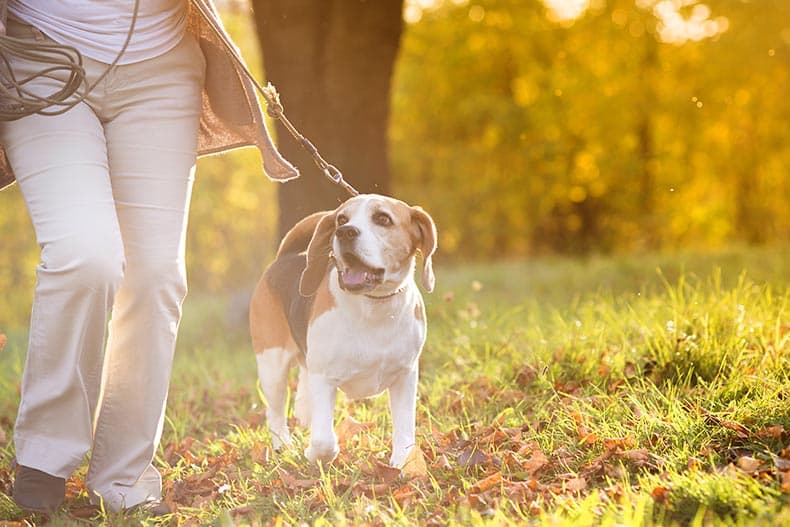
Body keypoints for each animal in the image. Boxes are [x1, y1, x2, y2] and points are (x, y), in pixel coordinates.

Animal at [251, 194, 436, 466]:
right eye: (341, 219)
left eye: (383, 219)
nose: (345, 231)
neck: (373, 306)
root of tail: (286, 257)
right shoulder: (324, 378)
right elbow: (323, 441)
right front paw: (313, 454)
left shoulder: (405, 376)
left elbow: (404, 429)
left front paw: (404, 462)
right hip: (271, 366)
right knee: (275, 413)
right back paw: (284, 446)